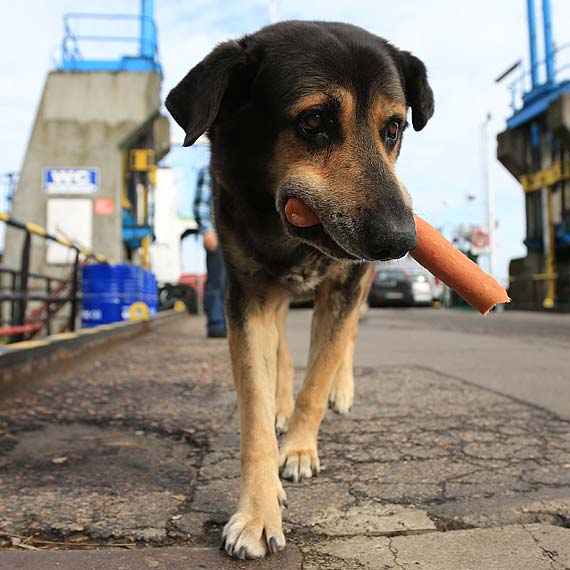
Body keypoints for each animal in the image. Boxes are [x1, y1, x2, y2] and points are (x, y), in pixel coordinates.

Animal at [166, 20, 432, 556]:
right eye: (313, 121)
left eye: (393, 129)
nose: (402, 240)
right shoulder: (249, 298)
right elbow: (256, 407)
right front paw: (258, 511)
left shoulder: (346, 284)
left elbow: (321, 370)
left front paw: (301, 448)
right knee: (284, 357)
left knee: (346, 340)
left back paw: (339, 393)